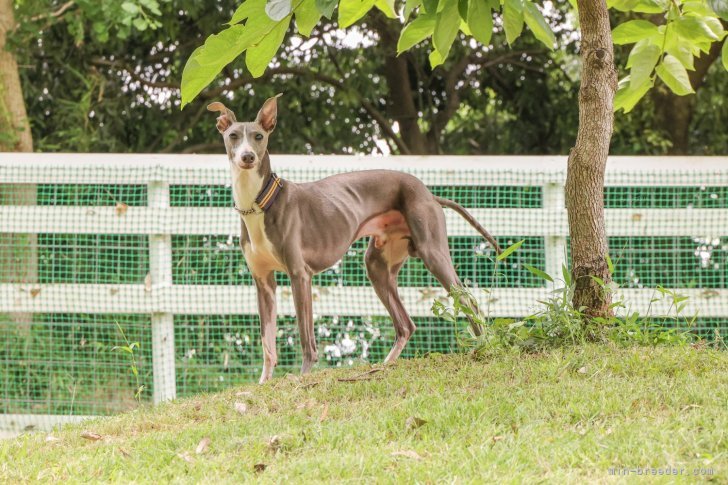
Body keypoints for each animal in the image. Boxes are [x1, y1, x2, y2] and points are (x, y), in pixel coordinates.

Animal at [208, 94, 498, 382]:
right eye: (233, 135)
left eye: (258, 136)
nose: (247, 157)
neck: (260, 202)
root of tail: (429, 193)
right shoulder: (263, 282)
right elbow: (267, 344)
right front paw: (264, 383)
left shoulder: (300, 275)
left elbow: (306, 338)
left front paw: (303, 376)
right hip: (377, 267)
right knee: (406, 325)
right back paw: (382, 366)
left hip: (432, 252)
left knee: (468, 300)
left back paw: (483, 347)